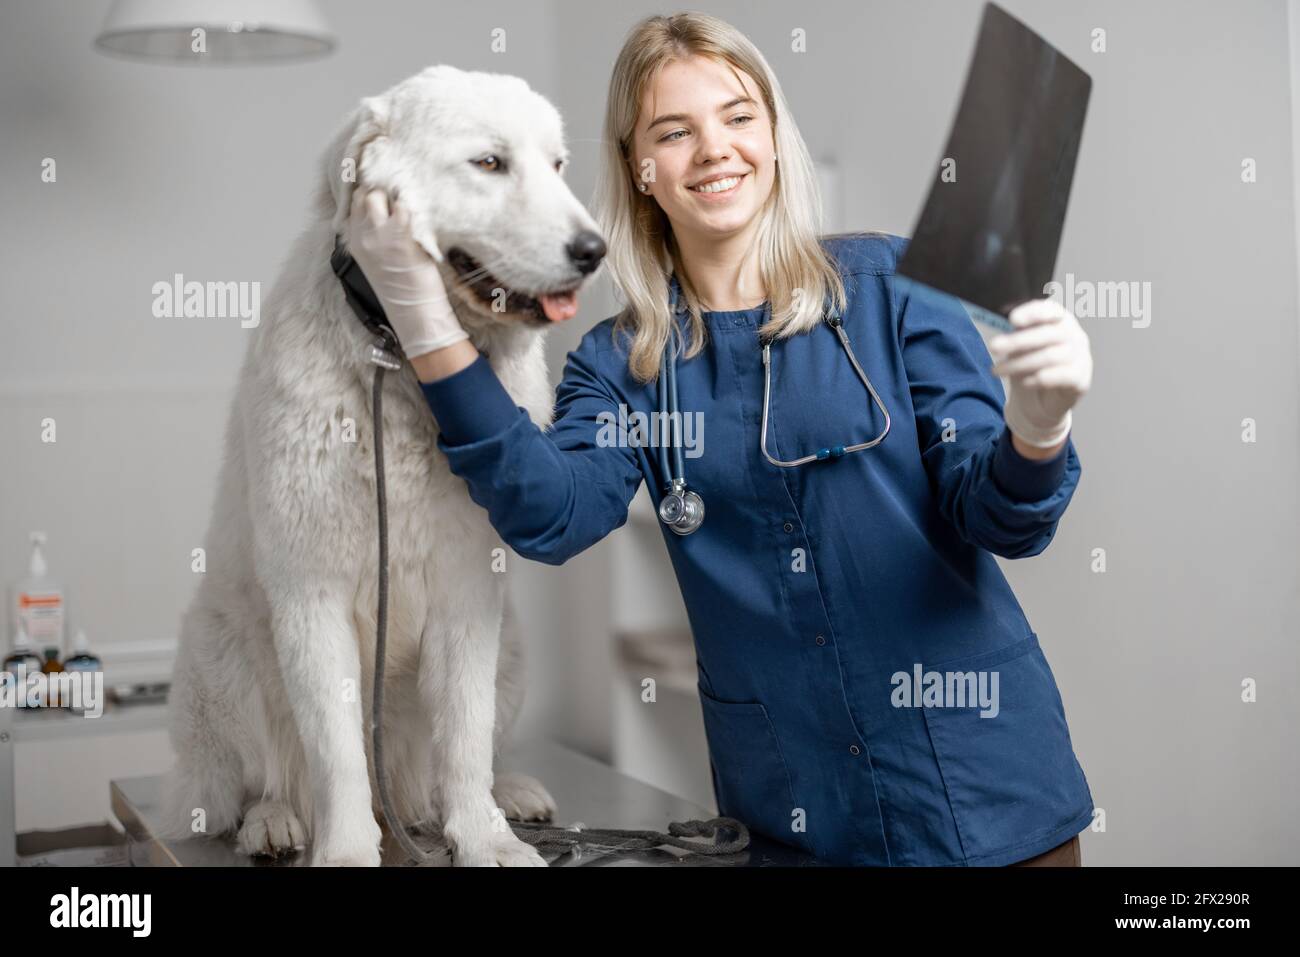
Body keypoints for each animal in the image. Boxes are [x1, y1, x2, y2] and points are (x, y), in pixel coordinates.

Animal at [161, 63, 603, 863]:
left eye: (556, 166)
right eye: (489, 163)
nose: (594, 250)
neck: (400, 363)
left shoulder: (469, 592)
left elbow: (464, 737)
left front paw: (484, 838)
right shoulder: (312, 595)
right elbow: (335, 752)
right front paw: (343, 849)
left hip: (512, 646)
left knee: (460, 761)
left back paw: (504, 796)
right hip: (221, 652)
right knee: (256, 779)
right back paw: (274, 821)